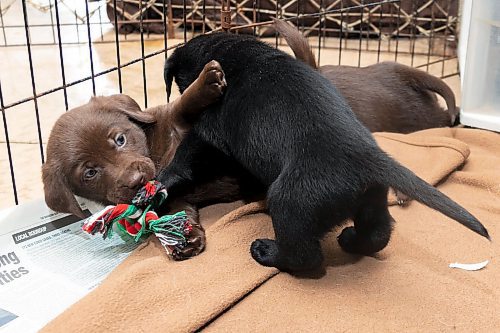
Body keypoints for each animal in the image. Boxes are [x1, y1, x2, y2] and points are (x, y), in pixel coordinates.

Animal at [43, 60, 232, 260]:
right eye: (90, 173)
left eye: (120, 139)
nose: (136, 180)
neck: (154, 153)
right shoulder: (169, 199)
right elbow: (177, 211)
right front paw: (181, 237)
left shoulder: (170, 119)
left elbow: (181, 107)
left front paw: (206, 82)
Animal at [162, 33, 490, 272]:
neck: (237, 52)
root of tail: (369, 158)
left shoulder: (209, 132)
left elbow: (187, 155)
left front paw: (165, 180)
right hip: (372, 198)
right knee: (379, 232)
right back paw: (351, 240)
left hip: (291, 202)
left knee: (306, 257)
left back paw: (267, 253)